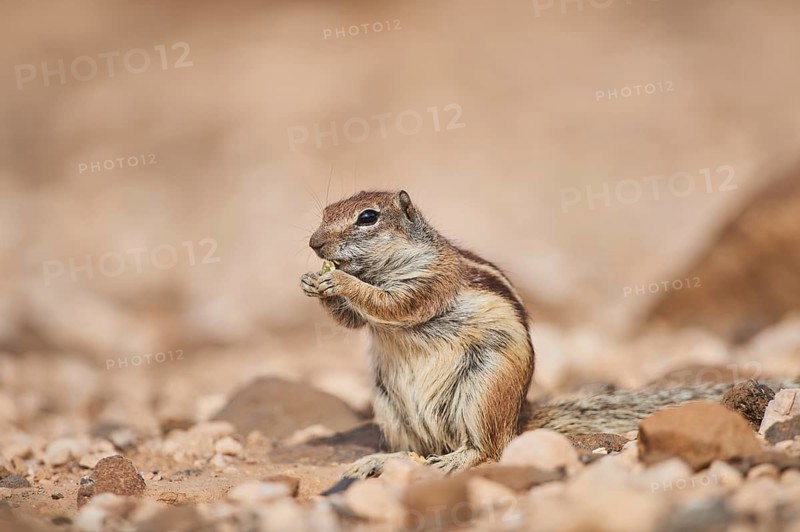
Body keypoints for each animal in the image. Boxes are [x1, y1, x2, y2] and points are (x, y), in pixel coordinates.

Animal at [300, 190, 773, 481]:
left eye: (368, 217)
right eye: (323, 214)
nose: (314, 244)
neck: (383, 267)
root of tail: (519, 419)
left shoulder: (430, 281)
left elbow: (393, 305)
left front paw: (338, 282)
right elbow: (355, 321)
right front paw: (313, 283)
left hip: (483, 390)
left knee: (489, 449)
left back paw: (455, 460)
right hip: (391, 407)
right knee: (413, 451)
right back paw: (376, 461)